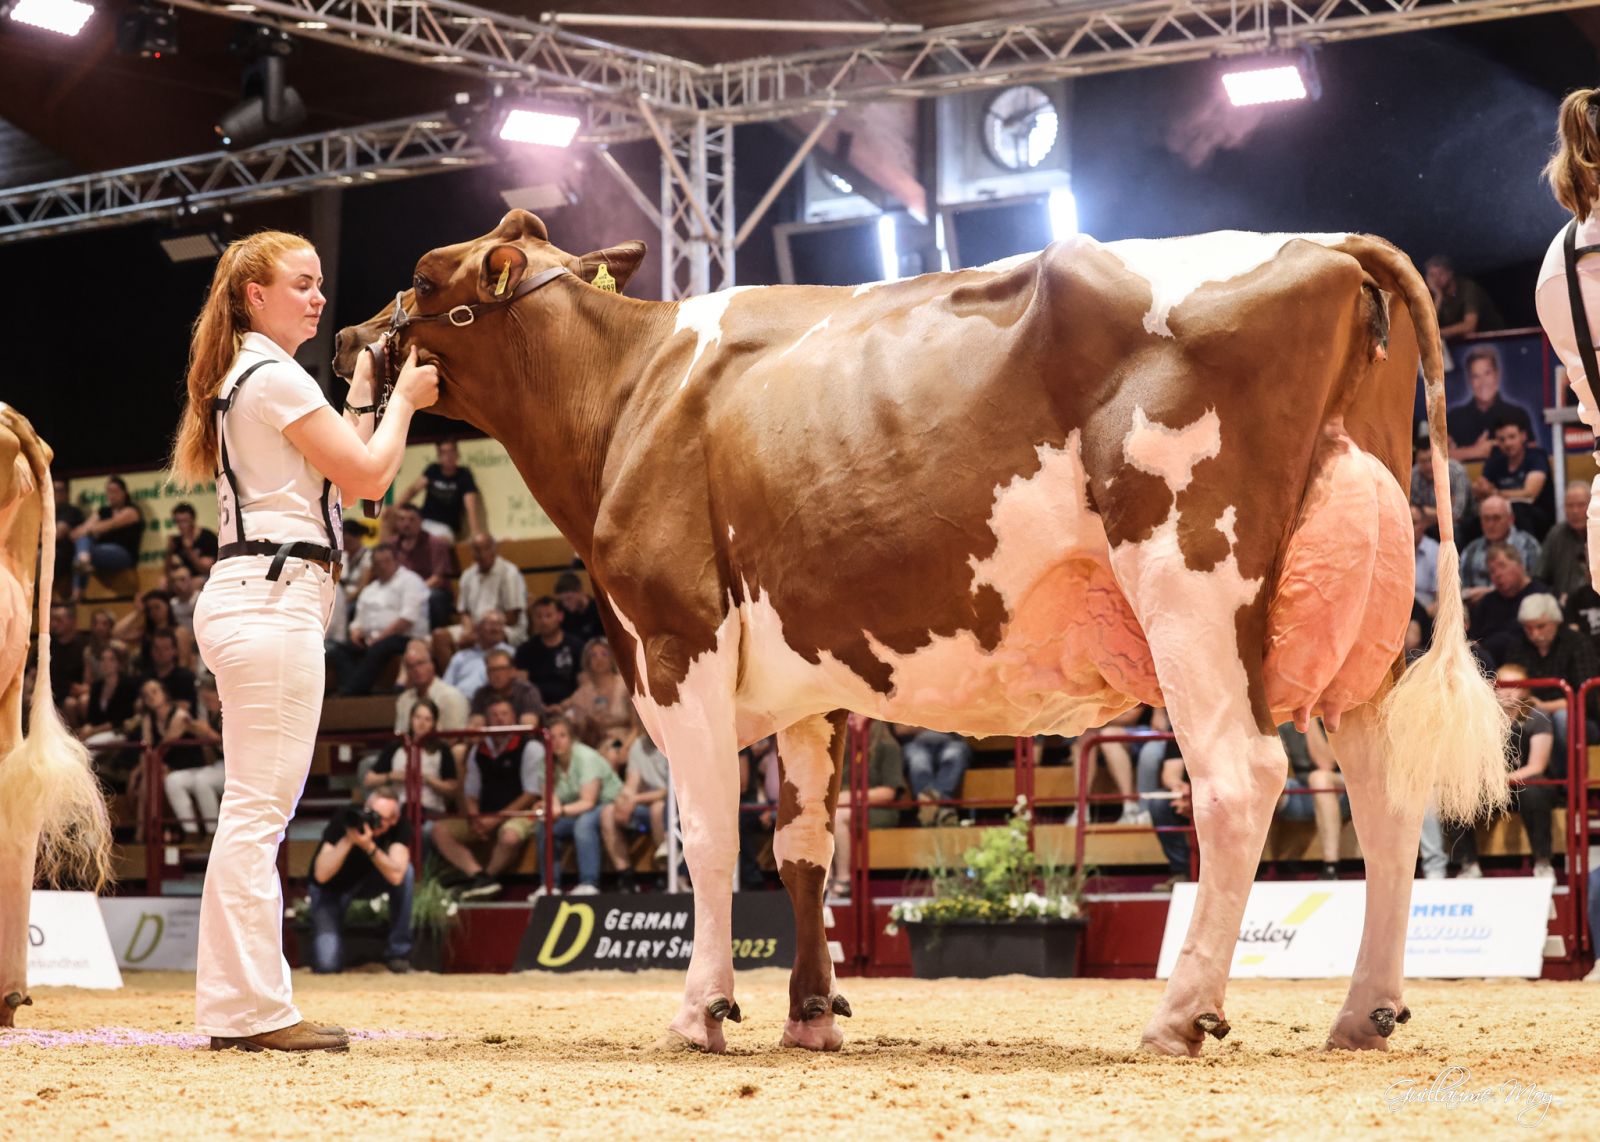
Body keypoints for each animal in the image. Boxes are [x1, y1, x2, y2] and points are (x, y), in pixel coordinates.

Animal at [334, 212, 1507, 1056]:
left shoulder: (674, 640)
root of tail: (1326, 242)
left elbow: (708, 837)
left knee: (1239, 777)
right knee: (1386, 796)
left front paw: (703, 1010)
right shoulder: (807, 683)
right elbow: (801, 847)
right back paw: (1363, 1012)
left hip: (1190, 581)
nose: (345, 335)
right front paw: (810, 1013)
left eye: (426, 279)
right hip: (1357, 613)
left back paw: (1180, 1014)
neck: (630, 395)